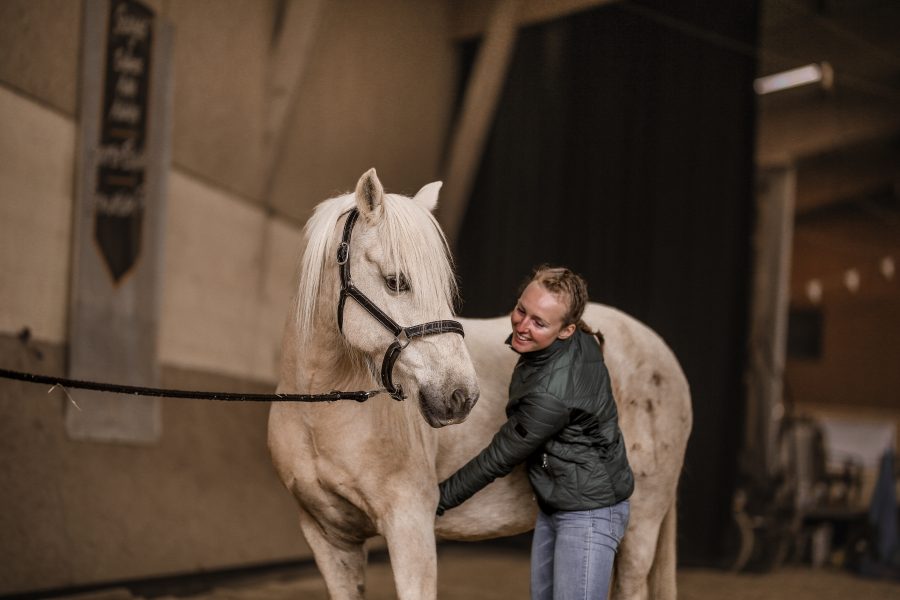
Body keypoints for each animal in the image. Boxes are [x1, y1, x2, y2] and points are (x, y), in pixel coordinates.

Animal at [268, 169, 692, 600]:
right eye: (396, 281)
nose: (461, 396)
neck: (321, 415)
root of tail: (661, 352)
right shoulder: (329, 540)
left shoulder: (410, 528)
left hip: (642, 523)